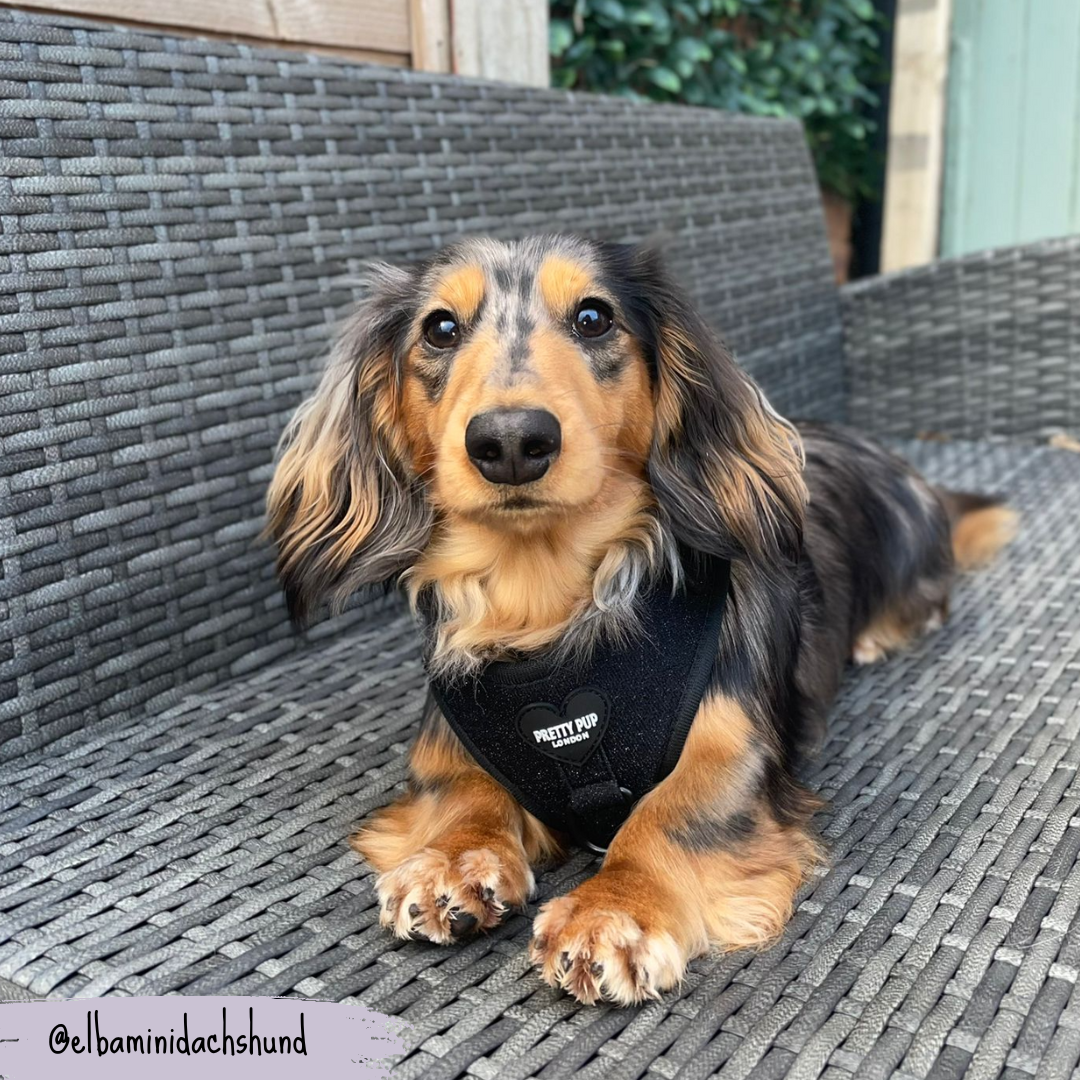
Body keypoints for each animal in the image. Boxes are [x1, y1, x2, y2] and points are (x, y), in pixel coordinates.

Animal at [265, 234, 1015, 1002]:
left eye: (595, 318)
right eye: (440, 328)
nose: (511, 441)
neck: (549, 612)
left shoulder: (729, 742)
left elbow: (670, 813)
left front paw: (614, 907)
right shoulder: (450, 741)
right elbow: (464, 791)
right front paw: (451, 861)